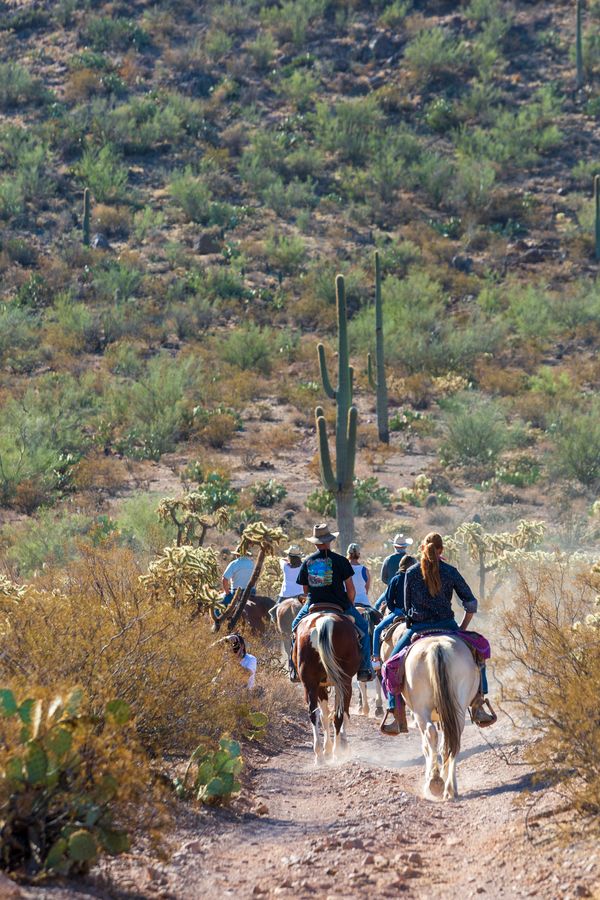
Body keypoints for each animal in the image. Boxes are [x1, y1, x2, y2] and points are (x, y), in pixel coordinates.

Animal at [292, 608, 358, 764]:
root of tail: (324, 622)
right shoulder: (344, 685)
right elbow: (342, 714)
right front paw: (341, 746)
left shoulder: (320, 687)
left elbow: (324, 715)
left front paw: (326, 749)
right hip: (343, 682)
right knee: (338, 714)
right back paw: (336, 752)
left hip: (310, 684)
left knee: (313, 714)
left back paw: (319, 755)